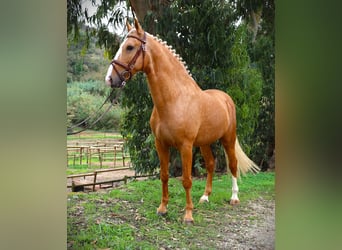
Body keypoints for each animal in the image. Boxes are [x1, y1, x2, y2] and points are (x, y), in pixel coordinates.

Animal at [105, 18, 260, 224]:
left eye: (129, 47)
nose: (110, 79)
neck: (175, 99)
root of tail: (225, 98)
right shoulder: (161, 144)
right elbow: (164, 176)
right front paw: (162, 208)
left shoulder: (185, 146)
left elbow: (186, 180)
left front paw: (188, 215)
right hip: (204, 143)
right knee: (211, 164)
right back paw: (205, 197)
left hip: (228, 138)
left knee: (233, 164)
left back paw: (234, 197)